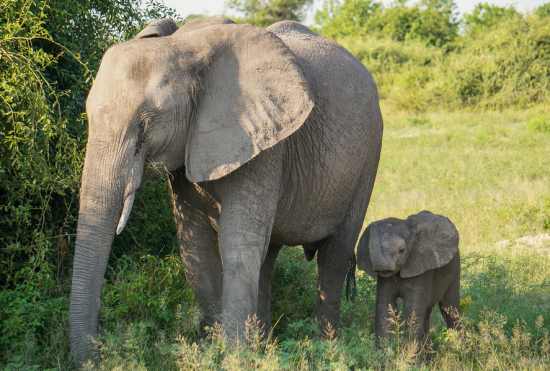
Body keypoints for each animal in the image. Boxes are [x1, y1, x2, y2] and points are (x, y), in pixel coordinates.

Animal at [71, 16, 386, 364]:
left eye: (144, 126)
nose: (98, 358)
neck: (184, 47)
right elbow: (195, 245)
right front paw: (216, 349)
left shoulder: (263, 143)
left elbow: (237, 242)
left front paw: (233, 356)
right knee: (268, 256)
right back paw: (265, 346)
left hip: (367, 160)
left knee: (334, 256)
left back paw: (325, 350)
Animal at [358, 211, 462, 348]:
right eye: (369, 250)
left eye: (401, 251)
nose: (372, 224)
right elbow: (385, 307)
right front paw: (385, 353)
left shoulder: (421, 268)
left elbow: (412, 308)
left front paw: (408, 353)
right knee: (427, 313)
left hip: (455, 267)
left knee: (450, 308)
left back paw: (459, 349)